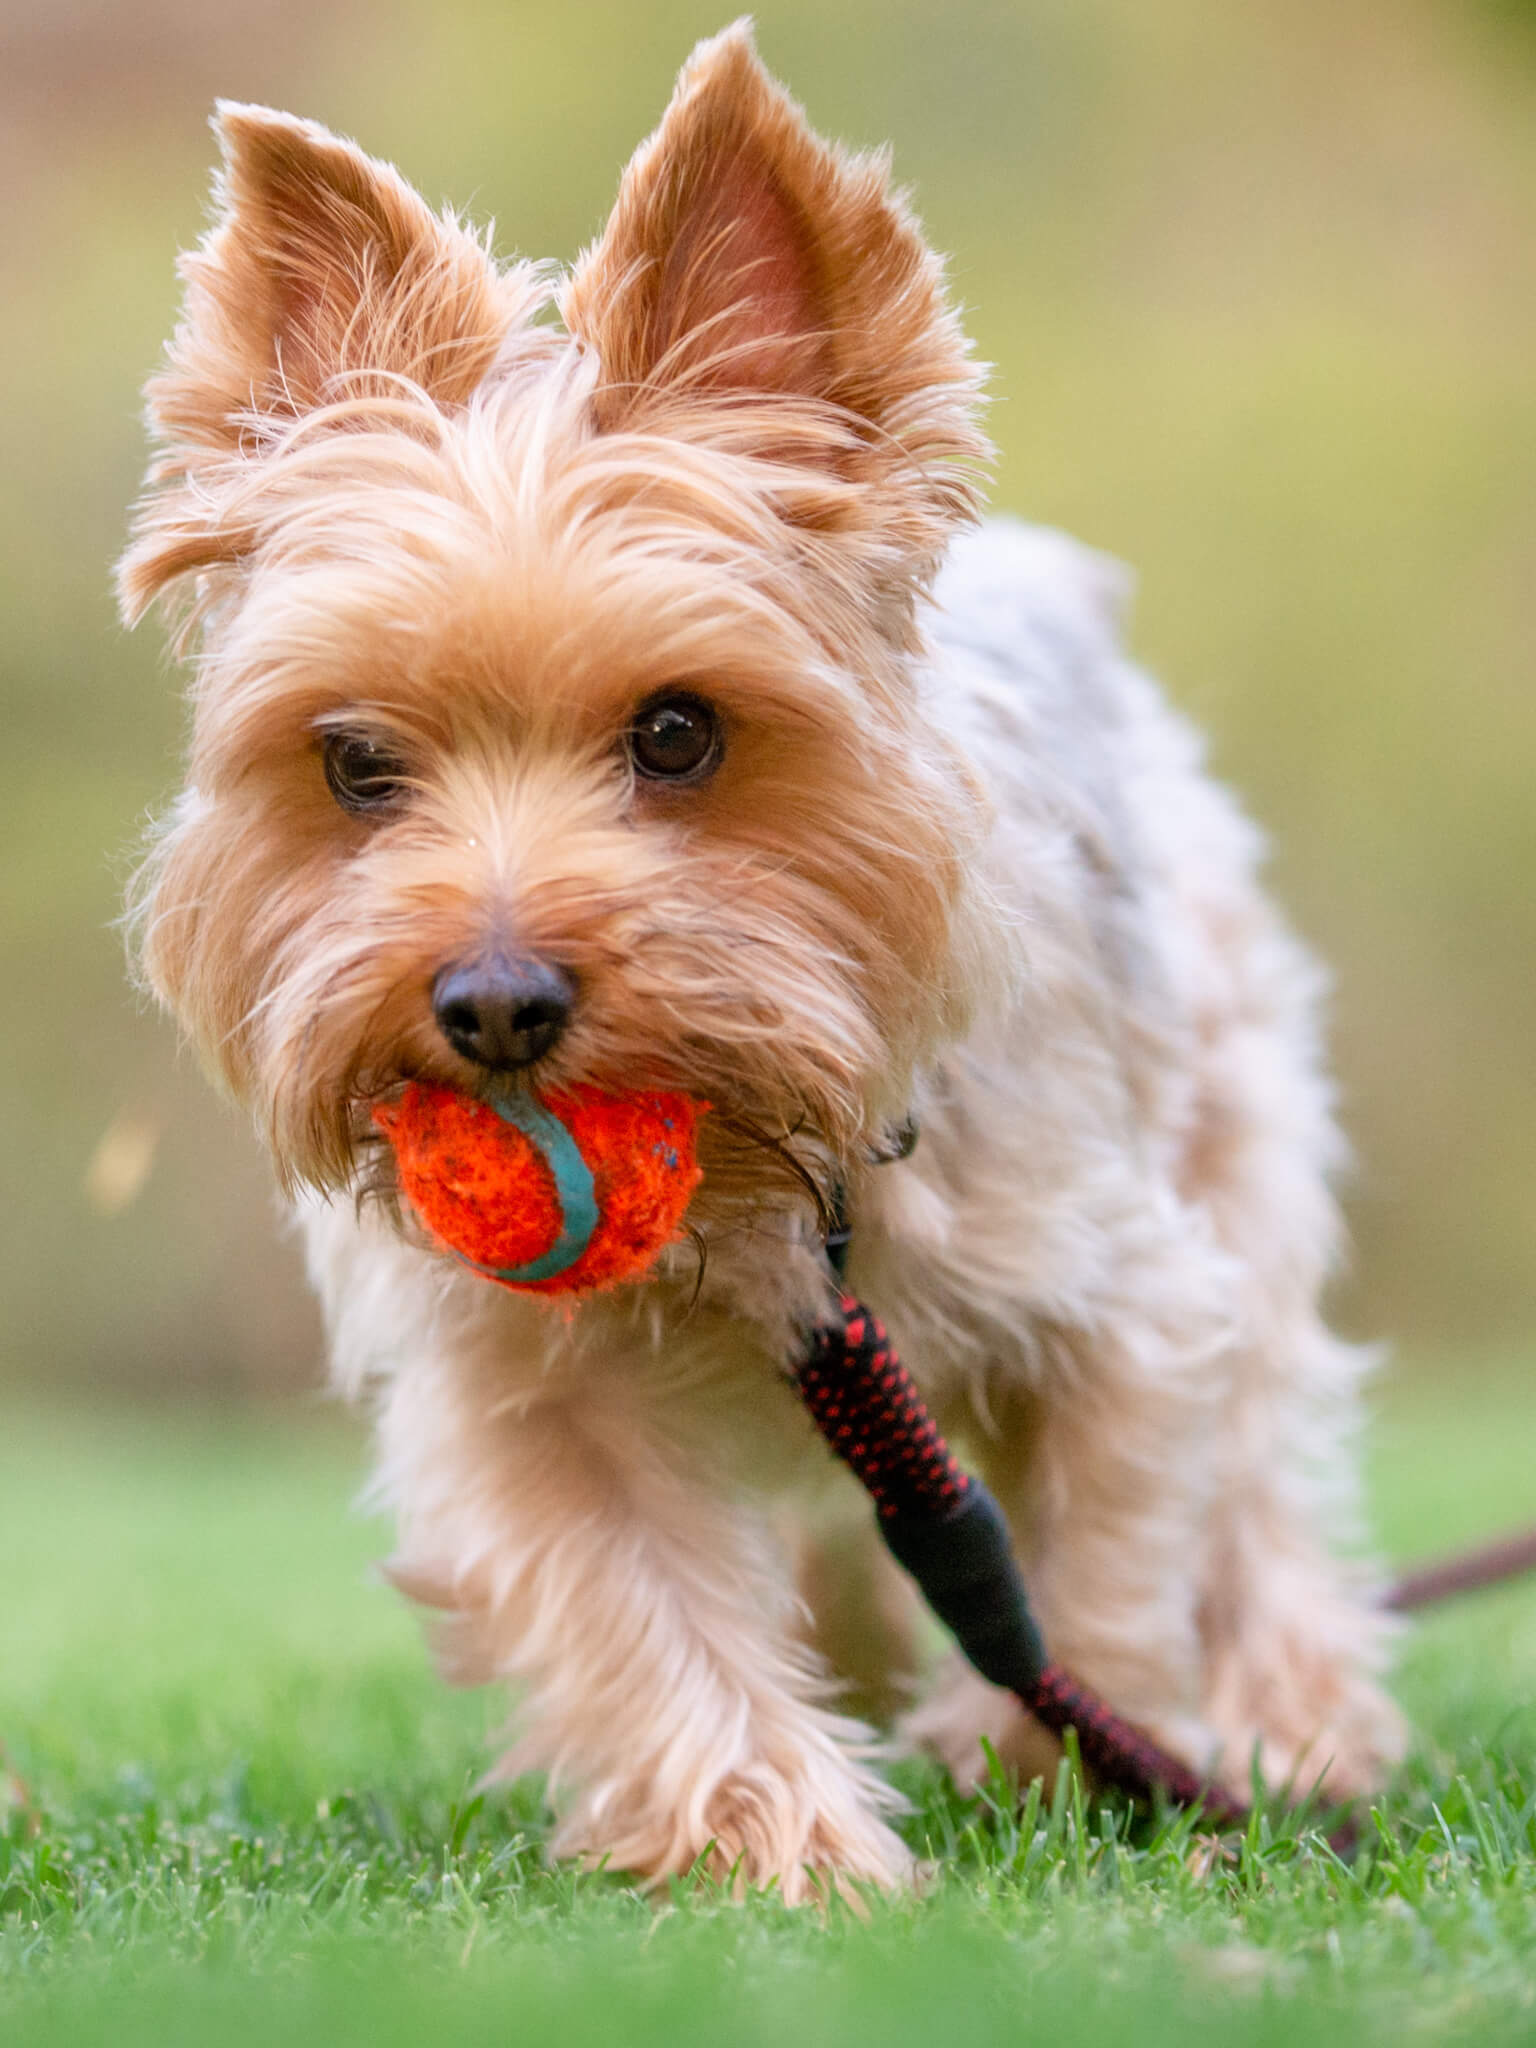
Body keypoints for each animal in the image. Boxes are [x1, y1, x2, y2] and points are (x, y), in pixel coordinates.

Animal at [120, 19, 1409, 1900]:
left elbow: (1105, 1542)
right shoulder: (526, 1386)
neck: (749, 1173)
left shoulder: (1115, 1286)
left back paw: (1291, 1722)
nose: (491, 1004)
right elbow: (635, 1602)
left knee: (1258, 1464)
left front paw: (1054, 1745)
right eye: (357, 765)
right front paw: (777, 1845)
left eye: (678, 732)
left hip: (1231, 1115)